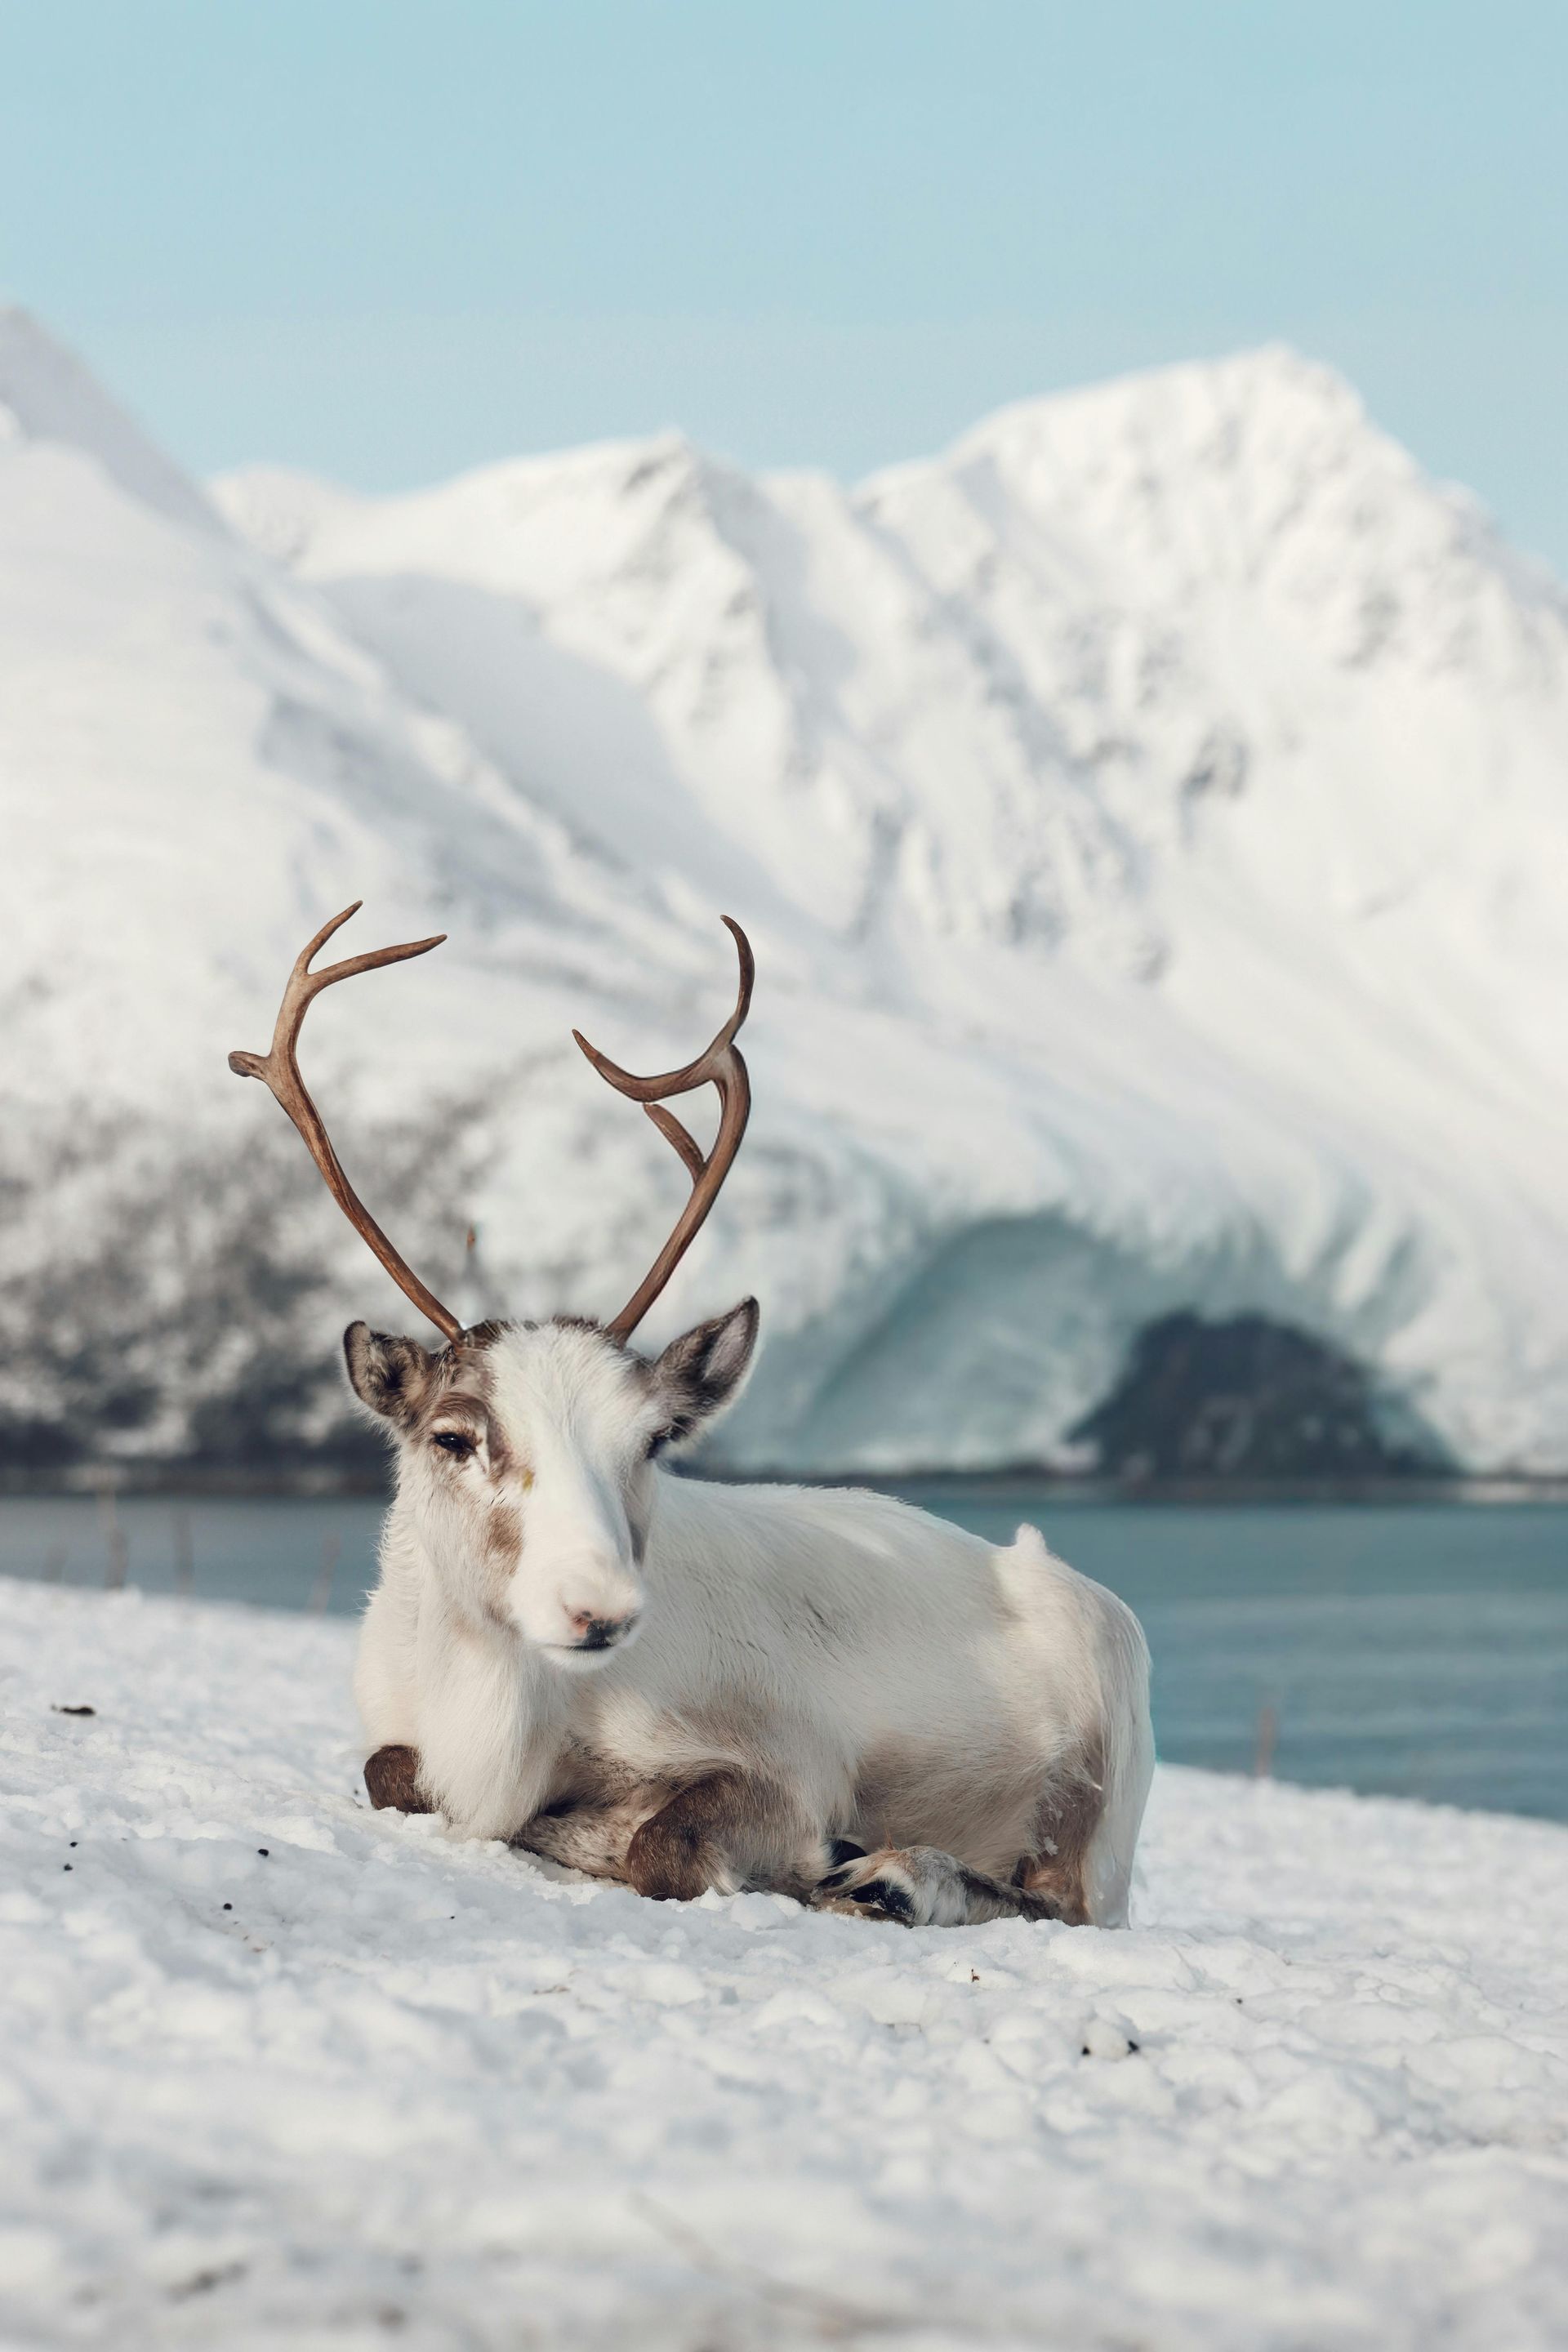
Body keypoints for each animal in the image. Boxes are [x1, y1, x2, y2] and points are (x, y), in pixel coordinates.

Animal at [228, 906, 1154, 1928]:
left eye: (653, 1441)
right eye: (454, 1437)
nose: (599, 1607)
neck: (502, 1717)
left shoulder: (791, 1764)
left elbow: (660, 1842)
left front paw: (794, 1858)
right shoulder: (398, 1729)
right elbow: (390, 1774)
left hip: (1092, 1797)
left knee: (1054, 1899)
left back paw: (896, 1878)